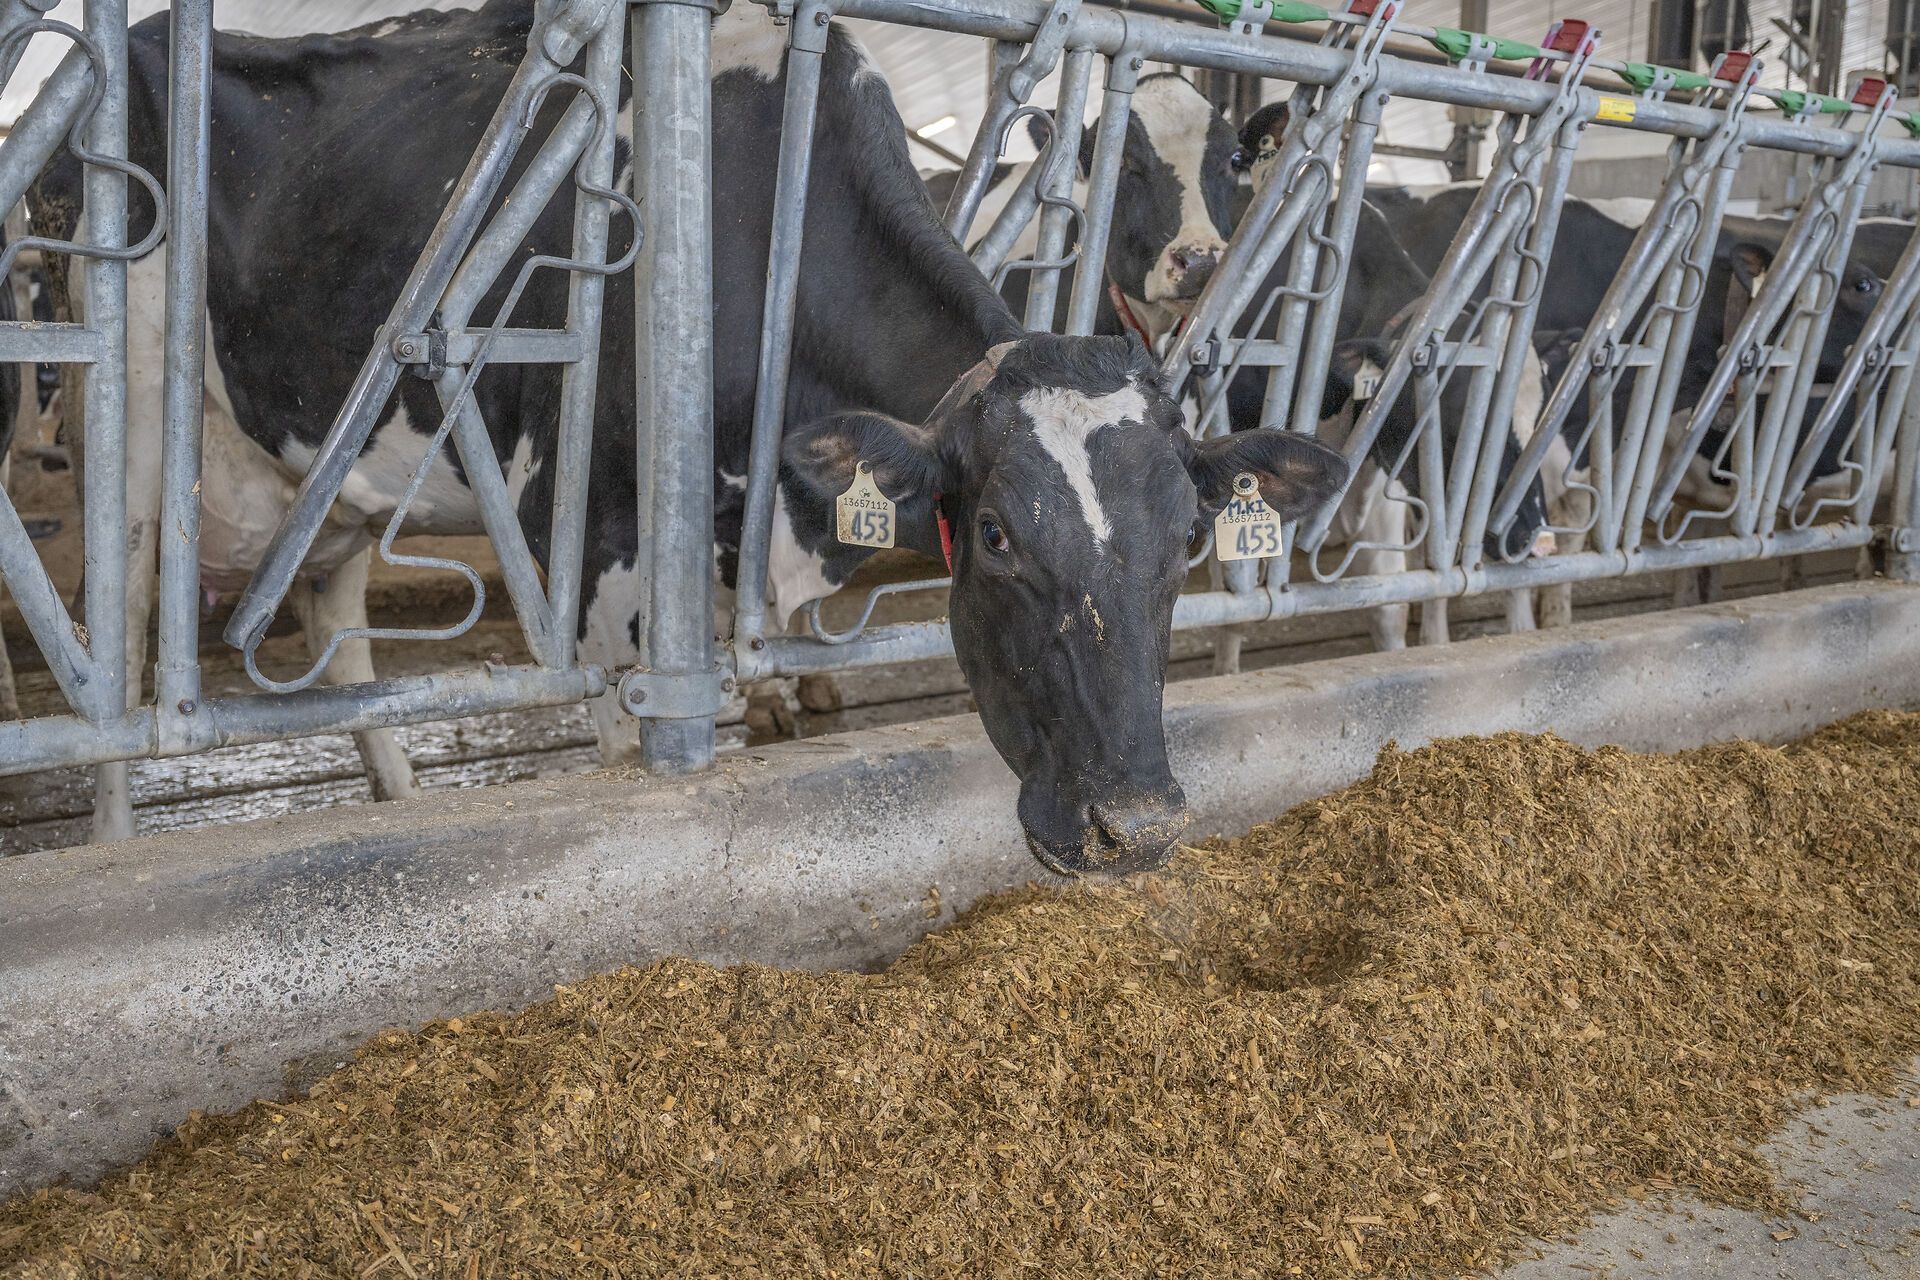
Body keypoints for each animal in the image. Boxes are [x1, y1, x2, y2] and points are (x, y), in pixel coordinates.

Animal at [36, 0, 1347, 871]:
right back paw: (110, 837)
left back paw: (396, 795)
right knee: (119, 637)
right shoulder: (604, 557)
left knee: (334, 621)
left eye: (1187, 538)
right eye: (996, 537)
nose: (1143, 823)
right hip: (131, 435)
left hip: (340, 462)